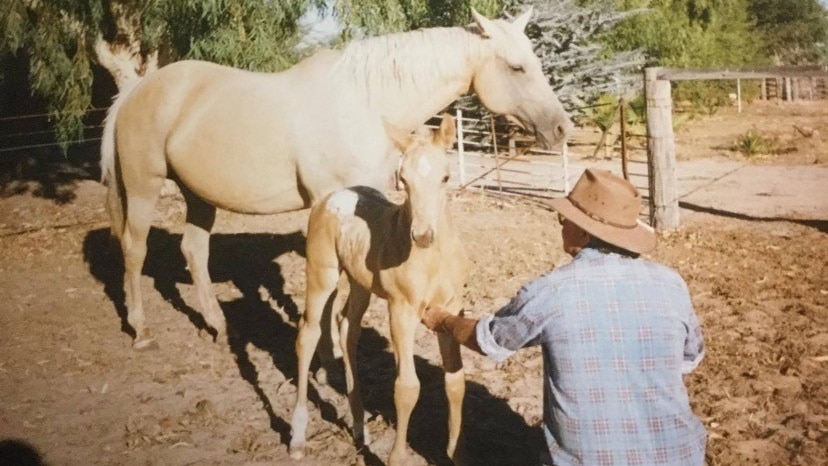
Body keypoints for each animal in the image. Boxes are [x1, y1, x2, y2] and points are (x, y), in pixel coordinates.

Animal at [98, 7, 568, 350]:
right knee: (134, 250)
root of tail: (135, 91)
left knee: (194, 252)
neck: (367, 101)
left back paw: (217, 326)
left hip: (198, 195)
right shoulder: (330, 202)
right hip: (143, 186)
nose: (562, 127)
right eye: (517, 67)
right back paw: (140, 330)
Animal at [290, 114, 472, 466]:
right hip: (321, 274)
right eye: (403, 180)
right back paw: (297, 436)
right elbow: (407, 387)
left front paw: (457, 453)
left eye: (445, 177)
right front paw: (397, 457)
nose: (423, 236)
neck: (433, 260)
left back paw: (359, 427)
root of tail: (331, 197)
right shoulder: (401, 310)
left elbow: (455, 382)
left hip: (360, 283)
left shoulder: (449, 309)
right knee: (308, 334)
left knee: (346, 328)